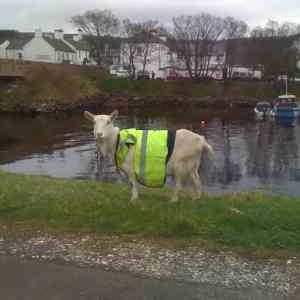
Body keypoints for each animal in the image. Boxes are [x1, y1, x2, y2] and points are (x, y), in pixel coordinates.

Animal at [84, 109, 213, 203]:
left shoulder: (130, 168)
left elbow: (134, 184)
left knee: (179, 184)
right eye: (94, 122)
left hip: (180, 165)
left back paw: (173, 200)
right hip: (193, 165)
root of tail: (201, 141)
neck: (116, 141)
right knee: (197, 180)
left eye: (108, 122)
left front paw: (134, 199)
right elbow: (131, 184)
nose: (99, 134)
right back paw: (196, 198)